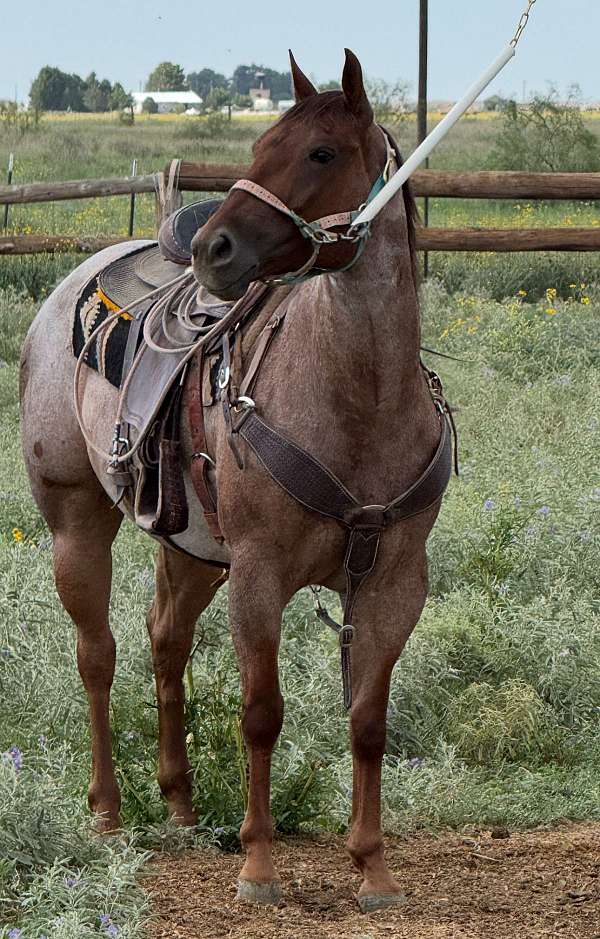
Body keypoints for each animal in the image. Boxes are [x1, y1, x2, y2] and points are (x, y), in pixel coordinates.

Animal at [20, 50, 451, 912]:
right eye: (259, 146)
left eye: (320, 152)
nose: (213, 250)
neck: (360, 401)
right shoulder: (259, 572)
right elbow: (261, 712)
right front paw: (258, 864)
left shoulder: (396, 583)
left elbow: (367, 719)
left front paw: (373, 866)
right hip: (75, 523)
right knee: (97, 654)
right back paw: (108, 811)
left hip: (193, 550)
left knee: (165, 641)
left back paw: (181, 801)